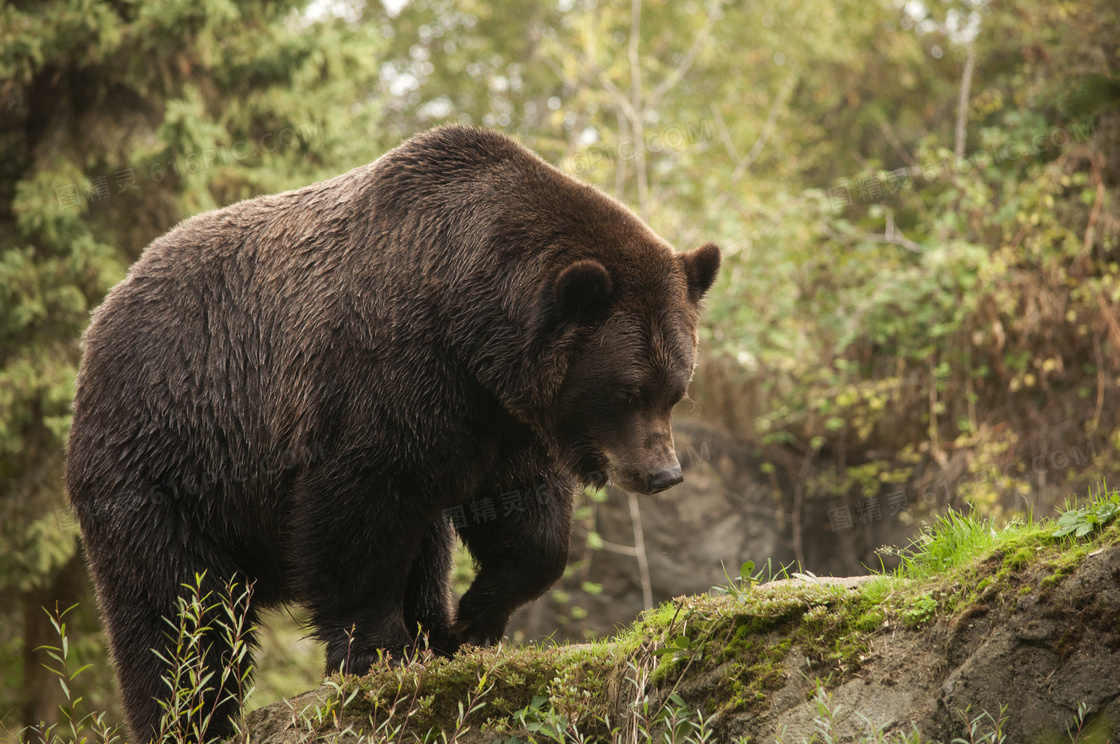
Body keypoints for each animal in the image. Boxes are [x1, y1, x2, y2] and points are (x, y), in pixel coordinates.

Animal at [65, 124, 721, 739]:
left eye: (676, 388)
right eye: (627, 391)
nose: (663, 473)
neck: (470, 326)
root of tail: (104, 313)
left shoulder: (497, 418)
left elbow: (528, 525)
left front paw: (468, 622)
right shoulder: (384, 379)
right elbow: (359, 518)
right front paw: (379, 650)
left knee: (424, 551)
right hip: (167, 459)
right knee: (178, 609)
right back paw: (188, 712)